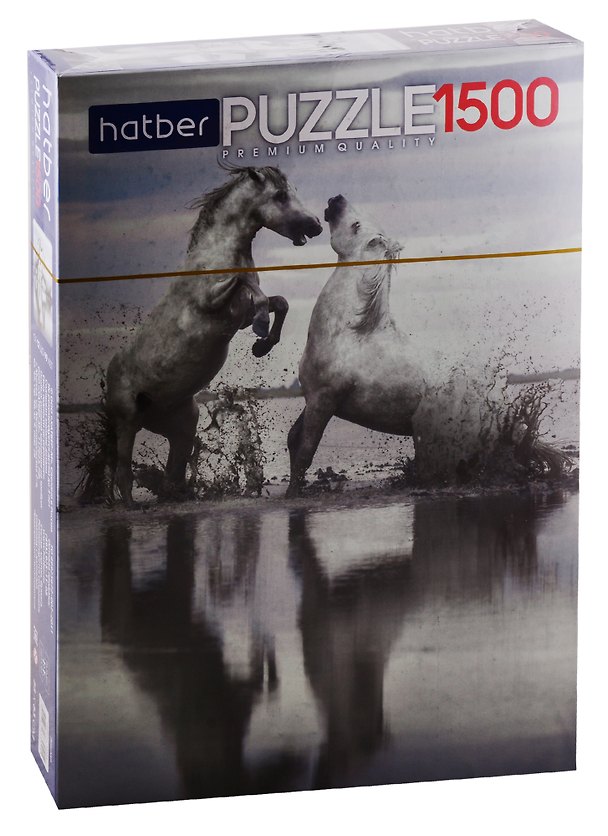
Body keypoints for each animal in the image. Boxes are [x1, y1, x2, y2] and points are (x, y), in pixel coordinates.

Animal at [105, 165, 322, 505]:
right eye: (280, 195)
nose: (315, 226)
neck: (216, 255)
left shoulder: (239, 314)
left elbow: (279, 302)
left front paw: (263, 345)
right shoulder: (213, 300)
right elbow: (250, 289)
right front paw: (262, 331)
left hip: (181, 424)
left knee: (173, 472)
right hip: (127, 423)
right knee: (123, 474)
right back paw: (130, 506)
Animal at [286, 194, 424, 497]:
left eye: (356, 224)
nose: (336, 199)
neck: (350, 335)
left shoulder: (324, 400)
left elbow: (305, 451)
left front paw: (293, 494)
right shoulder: (311, 396)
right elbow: (293, 439)